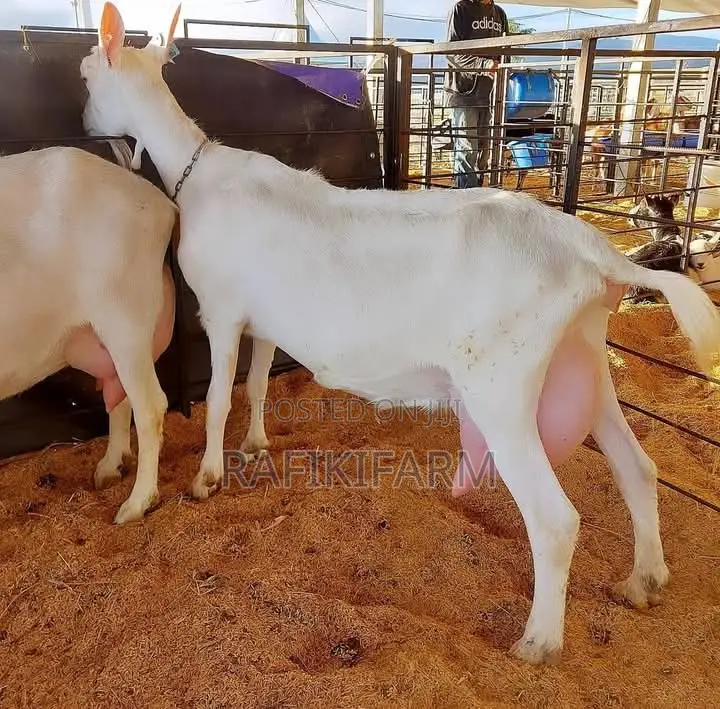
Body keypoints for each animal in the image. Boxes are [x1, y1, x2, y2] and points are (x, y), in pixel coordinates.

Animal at [0, 145, 176, 524]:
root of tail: (159, 203)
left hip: (125, 319)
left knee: (150, 406)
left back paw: (137, 503)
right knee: (121, 396)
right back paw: (111, 467)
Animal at [81, 2, 720, 664]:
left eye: (85, 75)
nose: (83, 120)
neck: (199, 168)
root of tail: (596, 254)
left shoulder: (221, 309)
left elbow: (213, 401)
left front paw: (207, 477)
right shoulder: (264, 319)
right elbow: (255, 384)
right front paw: (256, 444)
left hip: (501, 386)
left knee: (554, 518)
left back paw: (538, 642)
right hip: (588, 358)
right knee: (638, 469)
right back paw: (644, 582)